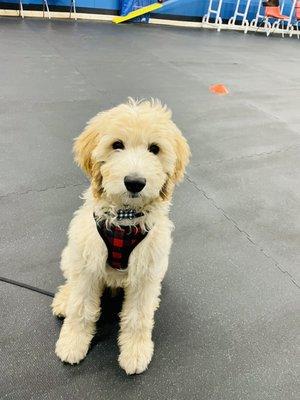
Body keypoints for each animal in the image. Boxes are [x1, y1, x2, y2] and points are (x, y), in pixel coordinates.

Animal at [52, 98, 190, 374]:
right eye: (117, 145)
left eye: (155, 149)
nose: (135, 182)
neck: (125, 217)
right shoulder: (88, 262)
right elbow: (80, 308)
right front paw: (73, 342)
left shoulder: (146, 271)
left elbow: (138, 316)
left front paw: (135, 351)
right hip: (72, 252)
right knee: (71, 281)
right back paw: (63, 299)